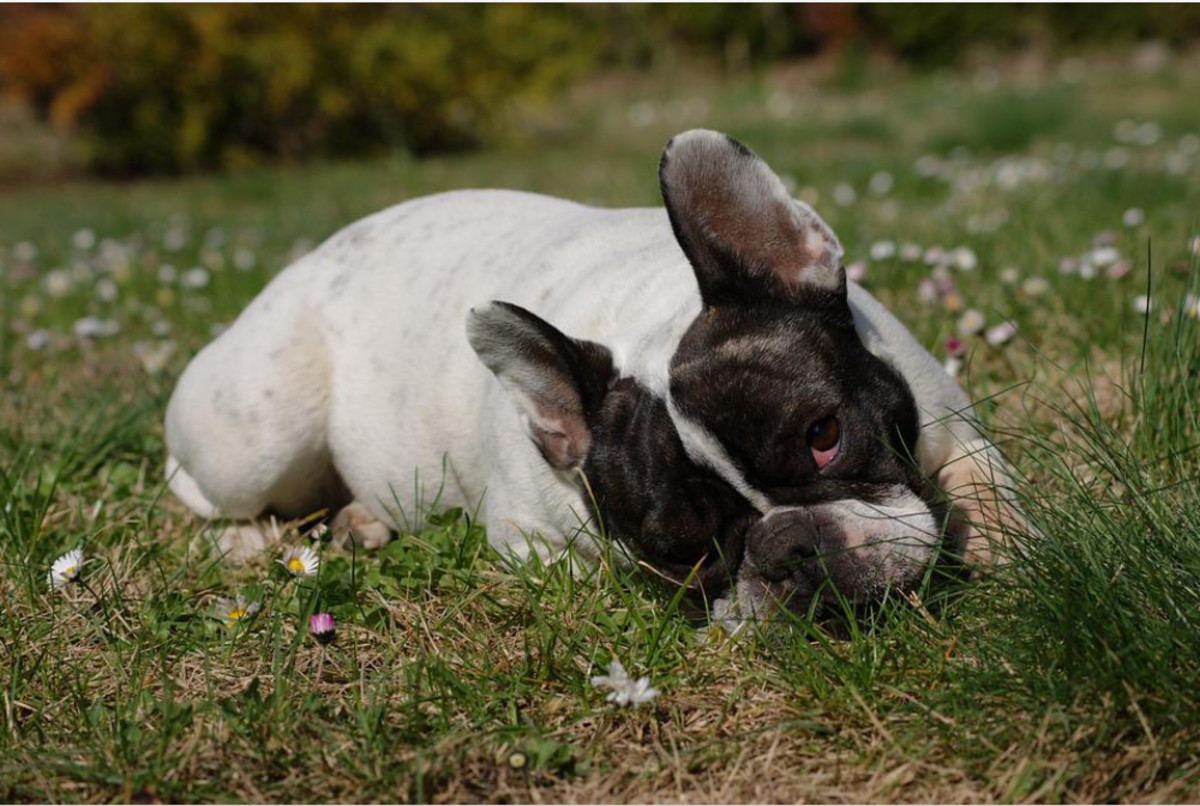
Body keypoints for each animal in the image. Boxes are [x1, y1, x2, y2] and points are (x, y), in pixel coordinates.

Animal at [164, 130, 1027, 623]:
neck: (642, 311)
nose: (787, 549)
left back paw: (359, 521)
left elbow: (988, 487)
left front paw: (1008, 553)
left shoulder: (946, 416)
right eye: (681, 553)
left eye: (825, 436)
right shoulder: (528, 539)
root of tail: (301, 263)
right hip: (259, 441)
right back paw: (249, 540)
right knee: (198, 488)